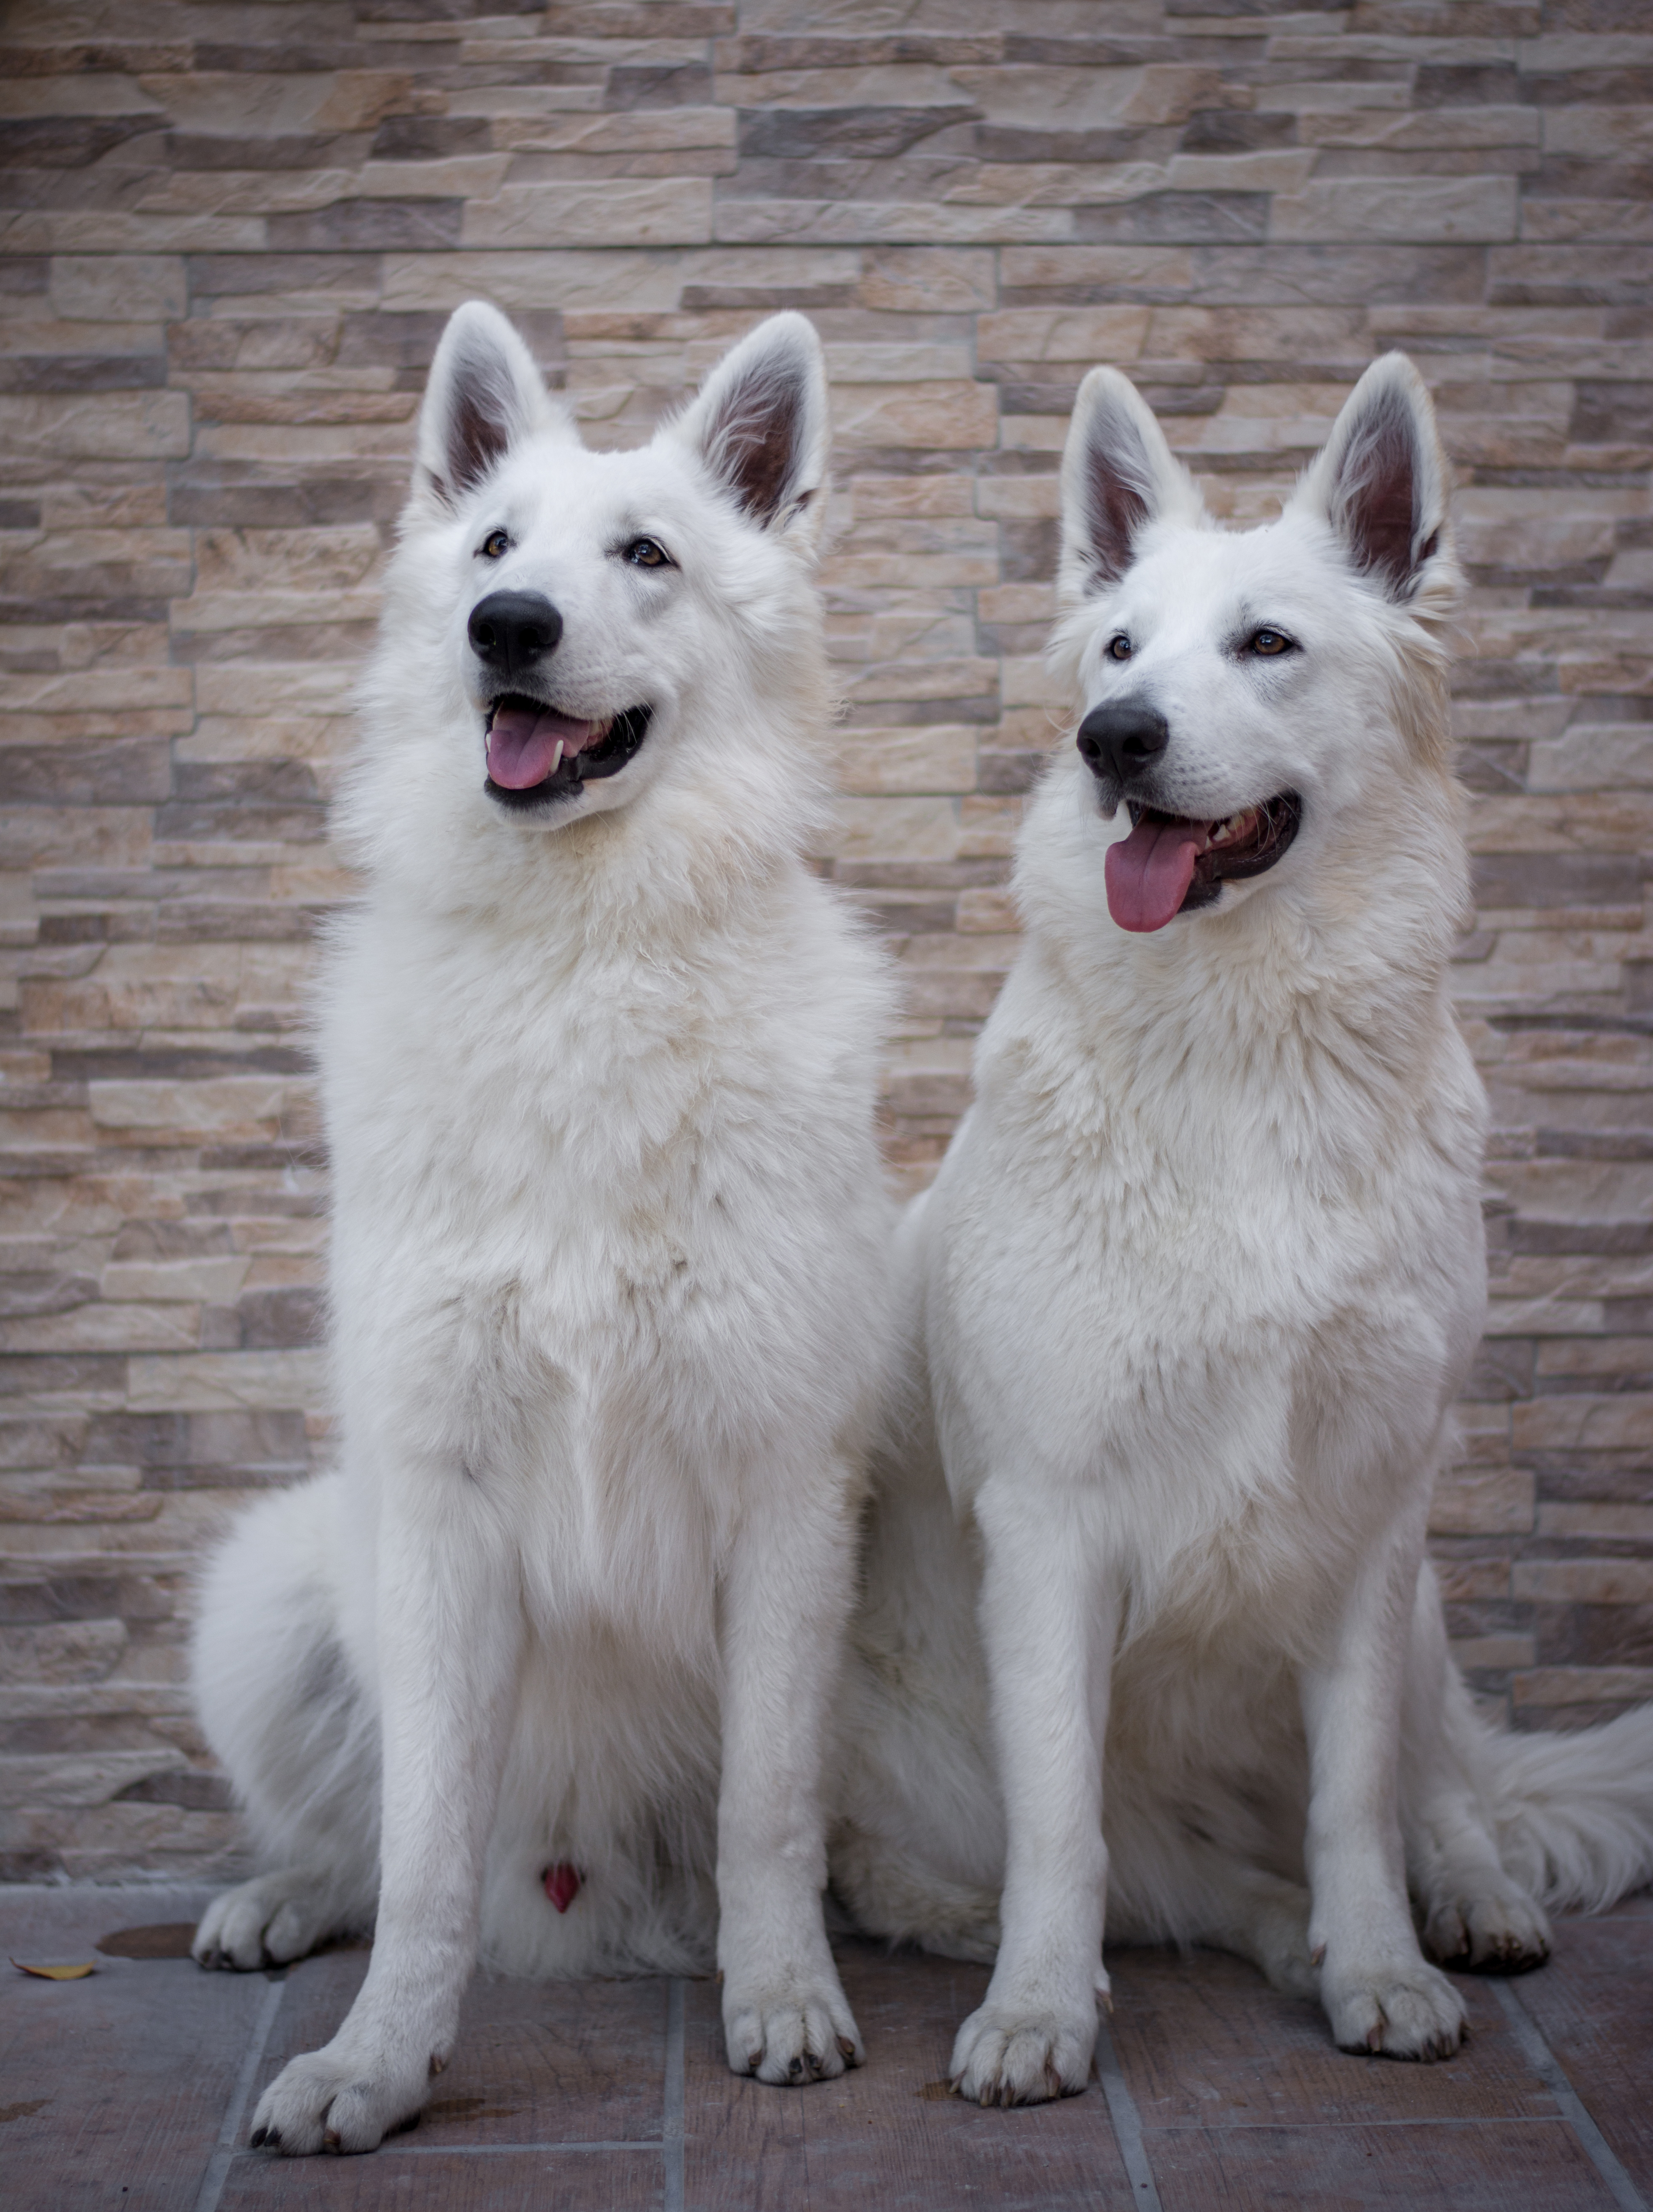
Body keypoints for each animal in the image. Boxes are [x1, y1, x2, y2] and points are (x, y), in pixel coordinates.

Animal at [187, 303, 898, 2150]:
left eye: (645, 554)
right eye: (496, 549)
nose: (505, 628)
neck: (587, 952)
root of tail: (576, 1898)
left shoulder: (787, 1498)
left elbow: (766, 1813)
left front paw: (783, 1998)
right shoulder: (439, 1507)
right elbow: (424, 1854)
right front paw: (375, 2064)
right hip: (269, 1585)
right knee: (359, 1842)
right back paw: (276, 1901)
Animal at [832, 354, 1653, 2097]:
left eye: (1266, 644)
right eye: (1118, 650)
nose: (1111, 739)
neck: (1243, 1050)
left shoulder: (1371, 1522)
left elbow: (1357, 1805)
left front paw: (1390, 1971)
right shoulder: (1051, 1528)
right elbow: (1063, 1833)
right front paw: (1036, 2011)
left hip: (1423, 1606)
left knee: (1438, 1799)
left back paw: (1460, 1909)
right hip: (922, 1764)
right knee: (1186, 1885)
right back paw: (1258, 1942)